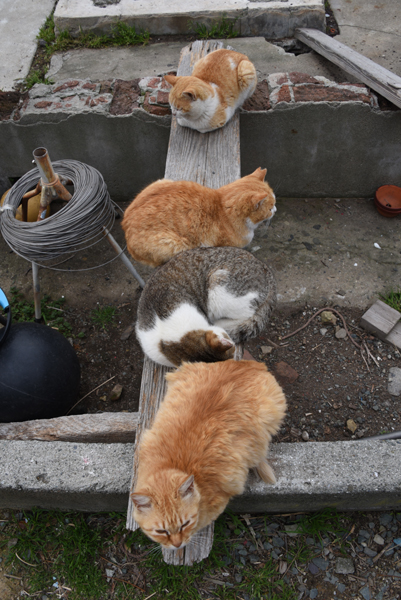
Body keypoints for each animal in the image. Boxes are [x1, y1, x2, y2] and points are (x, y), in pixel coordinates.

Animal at [121, 165, 276, 266]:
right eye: (269, 208)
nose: (275, 210)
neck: (221, 205)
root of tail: (125, 226)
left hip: (162, 181)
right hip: (175, 245)